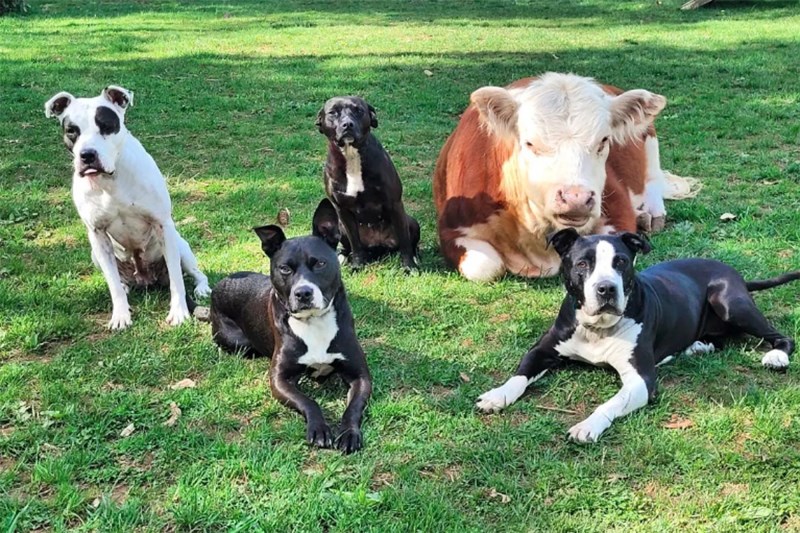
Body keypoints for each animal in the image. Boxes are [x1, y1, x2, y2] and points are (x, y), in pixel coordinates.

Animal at [44, 85, 209, 328]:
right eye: (72, 130)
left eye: (105, 125)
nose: (87, 154)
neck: (110, 180)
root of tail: (145, 278)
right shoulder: (97, 234)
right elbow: (112, 284)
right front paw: (121, 315)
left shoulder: (163, 225)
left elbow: (177, 280)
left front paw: (179, 312)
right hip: (96, 255)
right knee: (118, 280)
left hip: (181, 247)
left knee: (194, 273)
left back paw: (202, 288)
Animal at [212, 200, 376, 454]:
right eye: (285, 269)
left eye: (320, 263)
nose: (303, 293)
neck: (314, 321)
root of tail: (221, 282)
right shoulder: (279, 379)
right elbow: (309, 401)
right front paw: (319, 428)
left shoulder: (360, 376)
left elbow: (353, 407)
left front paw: (349, 433)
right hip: (237, 342)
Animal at [434, 75, 696, 284]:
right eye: (530, 143)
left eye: (603, 140)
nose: (576, 198)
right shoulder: (452, 228)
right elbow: (484, 266)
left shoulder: (617, 210)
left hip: (649, 136)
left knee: (652, 178)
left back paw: (650, 213)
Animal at [478, 229, 796, 440]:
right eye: (582, 263)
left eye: (620, 261)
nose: (606, 288)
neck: (599, 328)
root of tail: (737, 274)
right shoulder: (543, 350)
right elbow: (519, 376)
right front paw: (497, 395)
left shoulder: (641, 380)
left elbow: (610, 403)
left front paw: (588, 425)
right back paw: (698, 345)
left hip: (730, 302)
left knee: (782, 336)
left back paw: (776, 356)